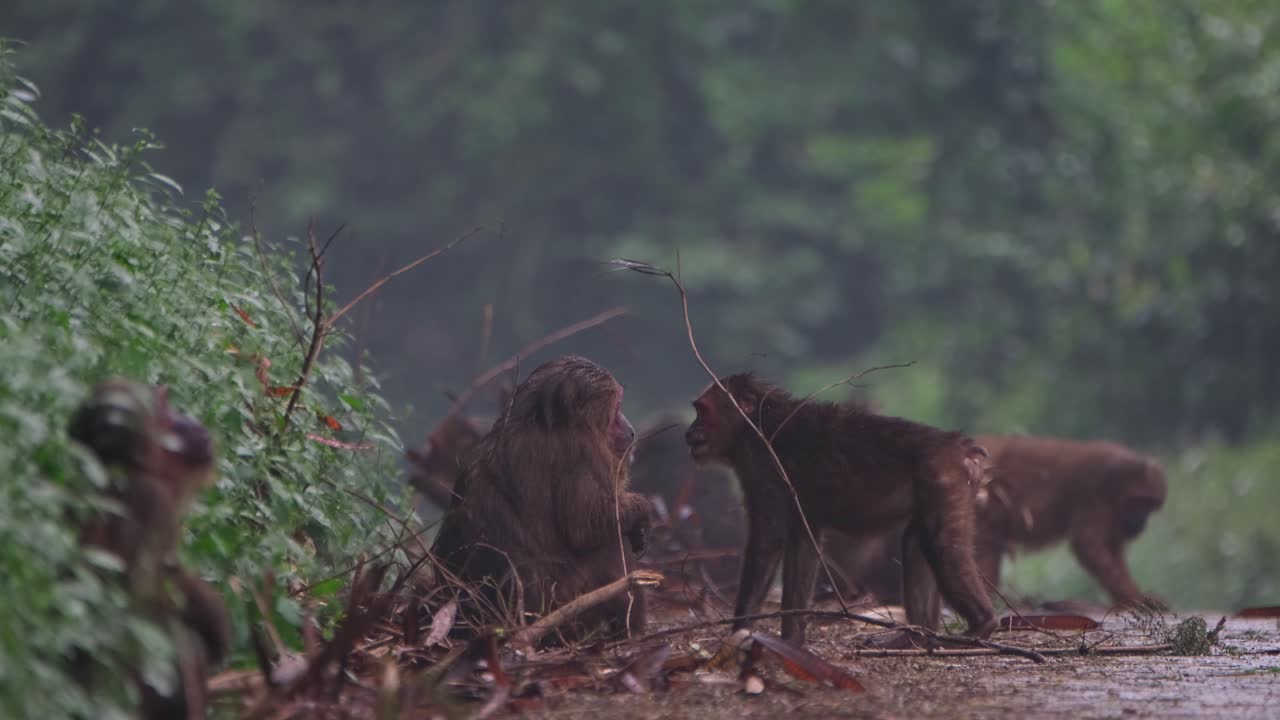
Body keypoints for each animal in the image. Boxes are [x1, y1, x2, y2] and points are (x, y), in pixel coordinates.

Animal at [430, 356, 654, 643]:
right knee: (609, 546)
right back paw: (631, 628)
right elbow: (587, 529)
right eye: (616, 408)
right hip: (568, 614)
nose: (631, 430)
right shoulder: (583, 453)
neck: (543, 420)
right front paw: (641, 514)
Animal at [685, 373, 997, 646]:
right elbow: (802, 548)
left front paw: (740, 630)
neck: (755, 425)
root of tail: (962, 447)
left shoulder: (760, 465)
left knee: (942, 544)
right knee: (917, 543)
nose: (690, 431)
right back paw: (914, 638)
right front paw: (791, 639)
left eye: (702, 412)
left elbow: (766, 542)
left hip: (942, 476)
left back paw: (982, 624)